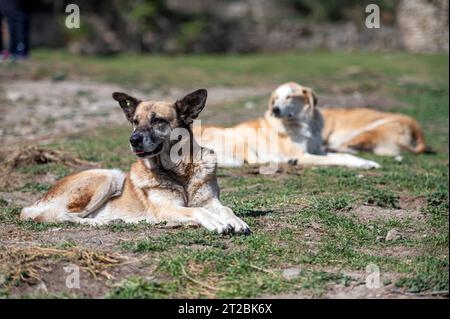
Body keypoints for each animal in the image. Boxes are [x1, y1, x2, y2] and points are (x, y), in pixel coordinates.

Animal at [20, 89, 250, 235]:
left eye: (158, 120)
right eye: (135, 122)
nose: (133, 140)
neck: (180, 172)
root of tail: (37, 201)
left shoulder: (211, 201)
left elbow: (226, 209)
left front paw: (236, 221)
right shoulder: (169, 208)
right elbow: (196, 210)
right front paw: (216, 223)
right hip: (108, 175)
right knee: (61, 216)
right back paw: (104, 221)